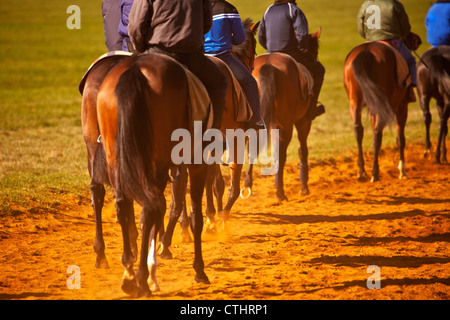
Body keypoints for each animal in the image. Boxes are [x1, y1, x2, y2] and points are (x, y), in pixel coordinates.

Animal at [95, 53, 211, 298]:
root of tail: (135, 68)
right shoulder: (197, 162)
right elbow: (194, 216)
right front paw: (199, 270)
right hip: (158, 160)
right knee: (151, 207)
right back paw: (140, 278)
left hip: (115, 156)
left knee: (124, 205)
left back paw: (130, 273)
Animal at [243, 28, 324, 201]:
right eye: (314, 51)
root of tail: (268, 65)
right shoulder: (303, 122)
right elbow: (302, 150)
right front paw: (304, 187)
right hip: (286, 125)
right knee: (280, 154)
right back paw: (280, 192)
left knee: (253, 150)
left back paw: (248, 185)